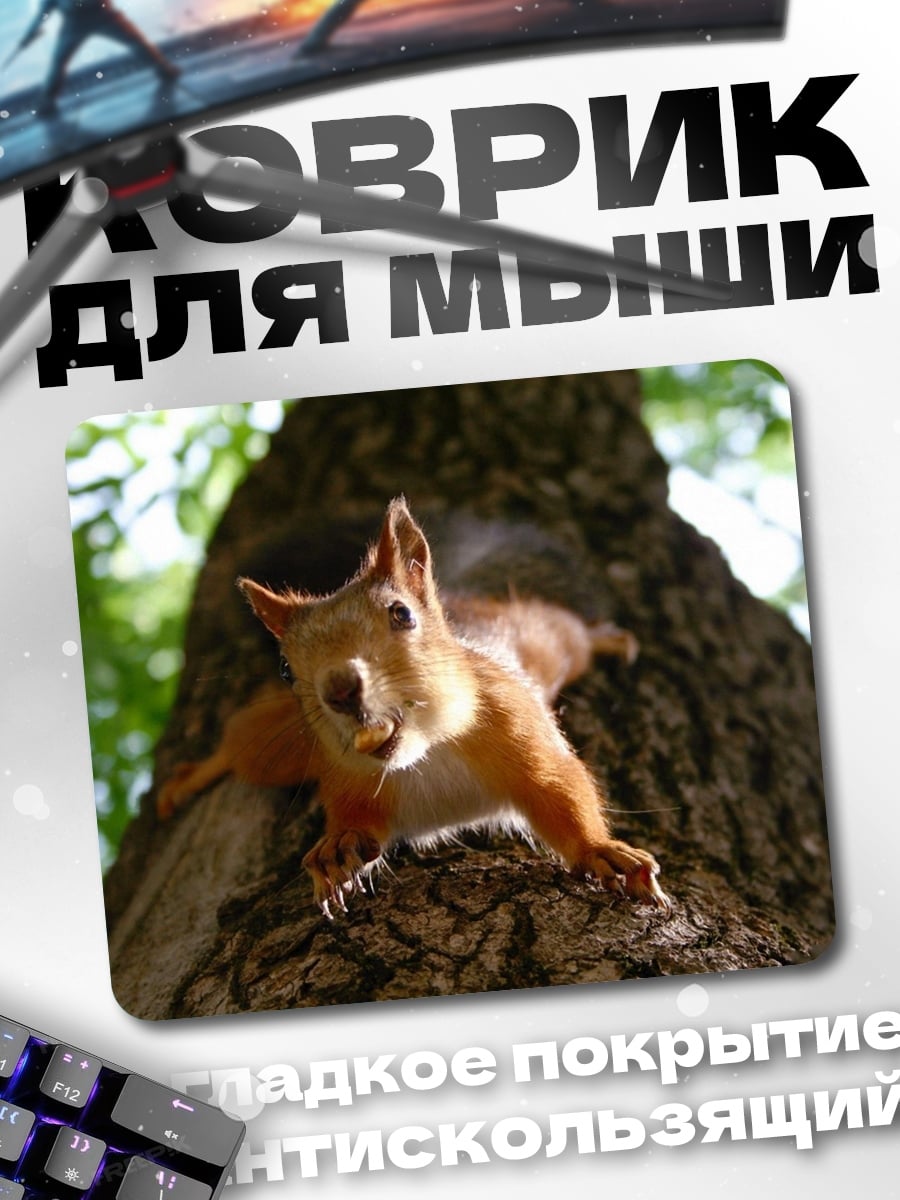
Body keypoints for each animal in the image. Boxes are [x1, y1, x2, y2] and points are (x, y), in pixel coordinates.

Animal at [157, 497, 670, 916]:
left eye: (401, 614)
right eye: (285, 667)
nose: (340, 688)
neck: (425, 751)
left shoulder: (516, 723)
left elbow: (560, 788)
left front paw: (601, 851)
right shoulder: (343, 775)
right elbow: (356, 821)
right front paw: (337, 847)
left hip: (541, 639)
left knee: (568, 630)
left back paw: (606, 639)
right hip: (283, 746)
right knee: (240, 748)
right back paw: (190, 778)